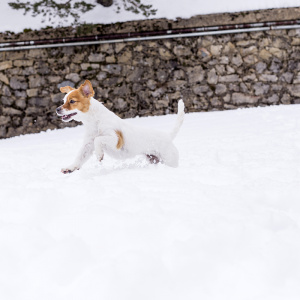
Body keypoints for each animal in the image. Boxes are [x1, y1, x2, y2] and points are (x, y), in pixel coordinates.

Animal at [55, 79, 184, 173]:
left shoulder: (115, 140)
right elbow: (79, 157)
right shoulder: (88, 145)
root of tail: (168, 136)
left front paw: (99, 154)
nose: (57, 109)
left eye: (72, 101)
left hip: (170, 160)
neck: (94, 122)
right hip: (154, 159)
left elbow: (98, 139)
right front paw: (70, 168)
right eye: (63, 101)